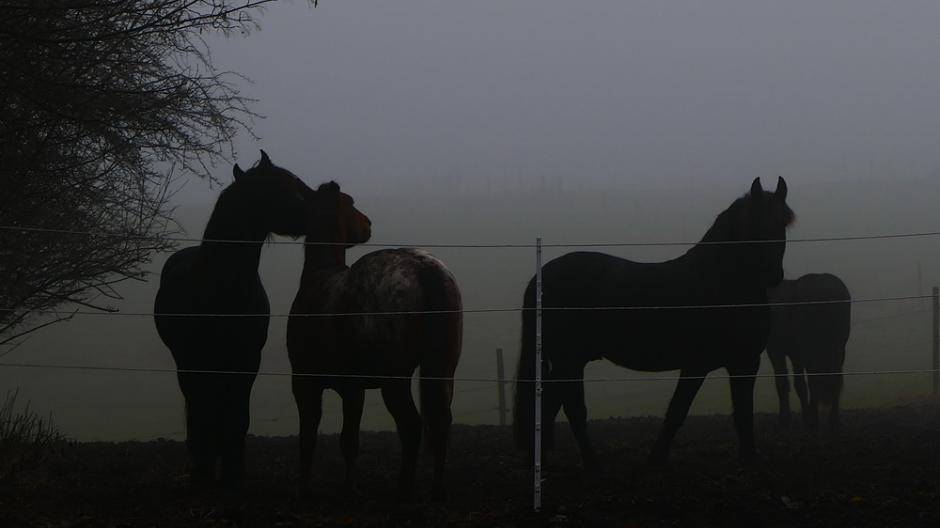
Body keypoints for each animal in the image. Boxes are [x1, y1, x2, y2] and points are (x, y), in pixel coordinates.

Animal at [154, 150, 310, 485]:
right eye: (273, 188)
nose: (314, 215)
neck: (223, 289)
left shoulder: (247, 360)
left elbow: (238, 415)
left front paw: (233, 472)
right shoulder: (192, 362)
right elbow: (201, 412)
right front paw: (201, 472)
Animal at [286, 181, 462, 501]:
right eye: (350, 203)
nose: (368, 223)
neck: (320, 281)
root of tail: (424, 268)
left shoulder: (307, 383)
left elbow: (312, 436)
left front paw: (312, 487)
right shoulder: (354, 388)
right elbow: (347, 440)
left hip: (394, 380)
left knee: (411, 425)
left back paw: (404, 487)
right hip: (442, 371)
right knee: (440, 422)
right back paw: (435, 488)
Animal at [514, 177, 794, 468]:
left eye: (782, 223)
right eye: (754, 221)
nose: (773, 274)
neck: (719, 284)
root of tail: (541, 278)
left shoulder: (744, 363)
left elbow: (743, 414)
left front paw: (749, 459)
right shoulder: (698, 364)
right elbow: (678, 411)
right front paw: (656, 458)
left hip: (568, 361)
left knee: (552, 405)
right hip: (569, 360)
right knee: (570, 408)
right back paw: (589, 462)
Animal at [766, 273, 850, 430]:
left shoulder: (776, 351)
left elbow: (784, 383)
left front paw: (785, 419)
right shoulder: (795, 354)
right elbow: (799, 384)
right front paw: (805, 416)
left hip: (812, 350)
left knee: (815, 380)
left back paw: (814, 418)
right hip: (838, 350)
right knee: (834, 379)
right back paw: (833, 420)